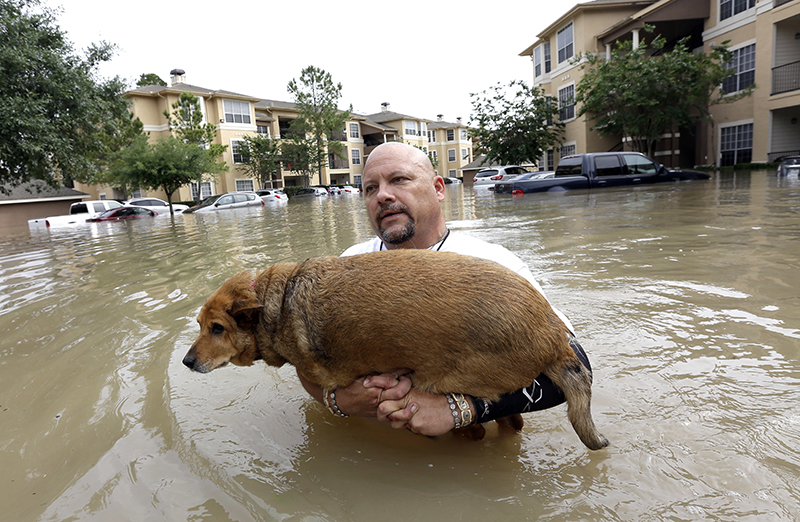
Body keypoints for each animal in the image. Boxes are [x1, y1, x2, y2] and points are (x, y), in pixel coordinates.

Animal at [184, 247, 608, 446]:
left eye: (218, 329)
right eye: (200, 325)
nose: (187, 361)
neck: (280, 301)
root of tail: (553, 333)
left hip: (447, 379)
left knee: (491, 422)